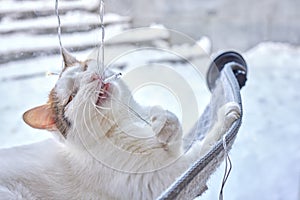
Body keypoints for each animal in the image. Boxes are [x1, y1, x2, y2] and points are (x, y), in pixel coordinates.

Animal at [0, 48, 239, 200]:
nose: (91, 77)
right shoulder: (162, 178)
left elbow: (170, 124)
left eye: (85, 67)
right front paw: (226, 115)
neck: (122, 123)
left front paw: (164, 125)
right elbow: (203, 148)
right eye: (71, 97)